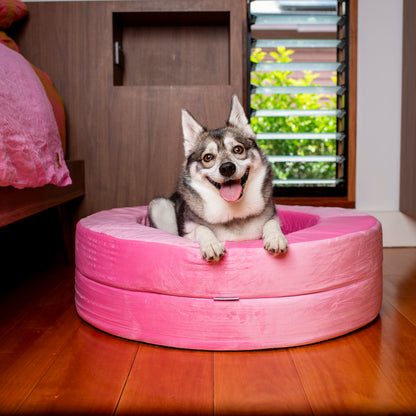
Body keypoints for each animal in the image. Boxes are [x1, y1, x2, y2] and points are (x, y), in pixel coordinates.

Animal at [148, 96, 288, 262]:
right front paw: (211, 244)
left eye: (238, 149)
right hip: (158, 205)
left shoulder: (273, 218)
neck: (233, 212)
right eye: (208, 157)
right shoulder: (186, 235)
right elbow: (201, 228)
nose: (227, 168)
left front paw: (275, 237)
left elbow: (271, 223)